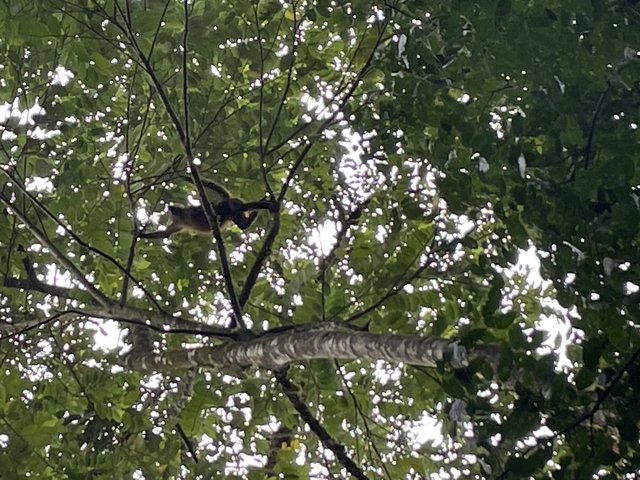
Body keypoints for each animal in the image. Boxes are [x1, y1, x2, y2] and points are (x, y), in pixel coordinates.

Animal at [139, 178, 277, 240]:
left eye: (171, 212)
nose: (169, 213)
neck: (183, 217)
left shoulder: (188, 211)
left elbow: (205, 208)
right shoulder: (178, 223)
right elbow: (165, 234)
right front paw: (139, 234)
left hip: (233, 204)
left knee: (229, 207)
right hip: (235, 214)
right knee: (243, 224)